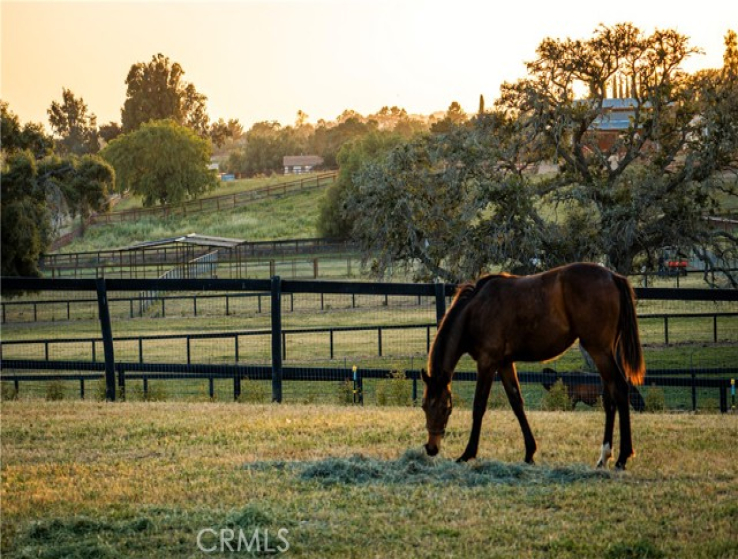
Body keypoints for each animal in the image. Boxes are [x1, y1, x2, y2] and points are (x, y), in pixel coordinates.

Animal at [420, 262, 644, 468]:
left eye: (444, 408)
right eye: (423, 406)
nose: (431, 448)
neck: (475, 309)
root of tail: (613, 276)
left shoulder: (487, 362)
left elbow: (479, 406)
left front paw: (467, 454)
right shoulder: (504, 363)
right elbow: (516, 403)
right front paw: (529, 452)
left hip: (598, 350)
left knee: (620, 389)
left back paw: (622, 457)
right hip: (606, 352)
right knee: (610, 398)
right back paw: (604, 457)